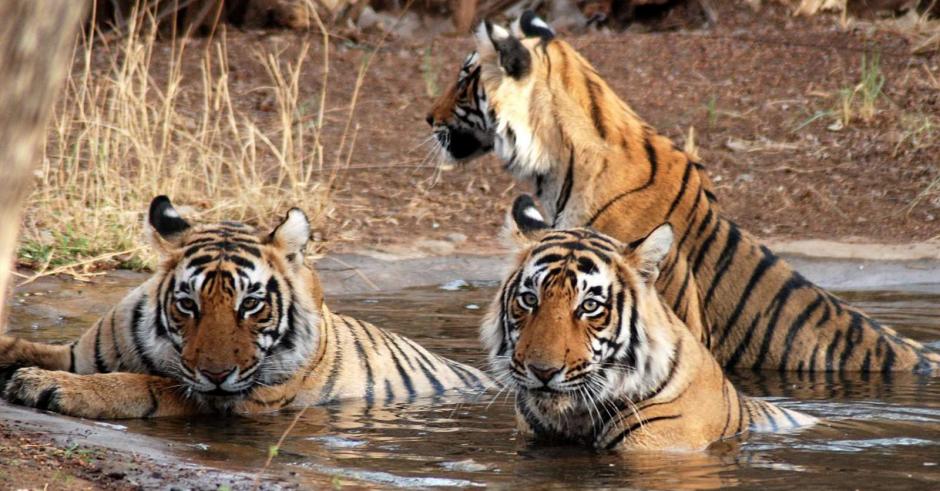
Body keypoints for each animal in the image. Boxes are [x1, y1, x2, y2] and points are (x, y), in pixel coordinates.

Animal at [0, 196, 491, 419]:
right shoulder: (77, 353)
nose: (217, 374)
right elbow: (26, 347)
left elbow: (142, 384)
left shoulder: (225, 399)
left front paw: (46, 386)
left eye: (251, 304)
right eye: (187, 304)